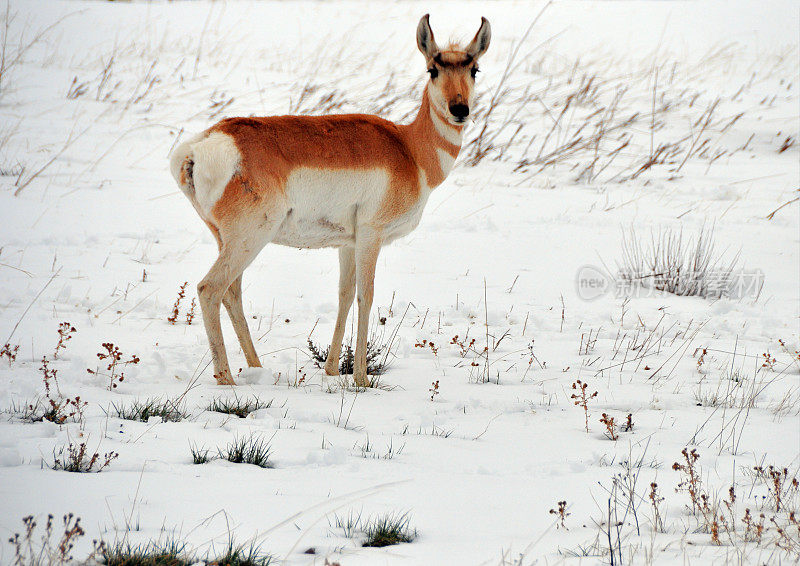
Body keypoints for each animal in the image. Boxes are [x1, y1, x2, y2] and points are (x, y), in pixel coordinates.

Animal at [170, 15, 488, 390]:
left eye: (474, 69)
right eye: (433, 69)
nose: (459, 109)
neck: (409, 149)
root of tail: (200, 146)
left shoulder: (347, 243)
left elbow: (345, 295)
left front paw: (333, 370)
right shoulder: (370, 235)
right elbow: (366, 296)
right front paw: (361, 379)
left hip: (228, 240)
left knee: (232, 293)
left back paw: (257, 368)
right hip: (249, 238)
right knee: (210, 289)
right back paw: (227, 379)